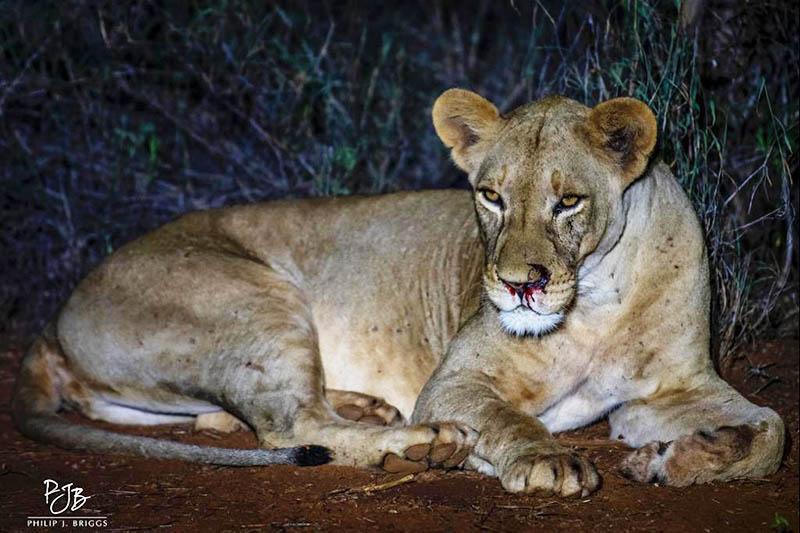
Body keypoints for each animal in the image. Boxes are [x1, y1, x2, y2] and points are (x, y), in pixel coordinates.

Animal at [13, 89, 783, 494]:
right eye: (491, 196)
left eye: (568, 201)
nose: (519, 287)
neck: (598, 298)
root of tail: (52, 322)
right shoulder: (456, 381)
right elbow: (507, 420)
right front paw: (547, 460)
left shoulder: (677, 385)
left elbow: (771, 429)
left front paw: (686, 457)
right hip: (255, 297)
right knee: (292, 427)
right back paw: (414, 444)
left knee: (235, 419)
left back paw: (369, 409)